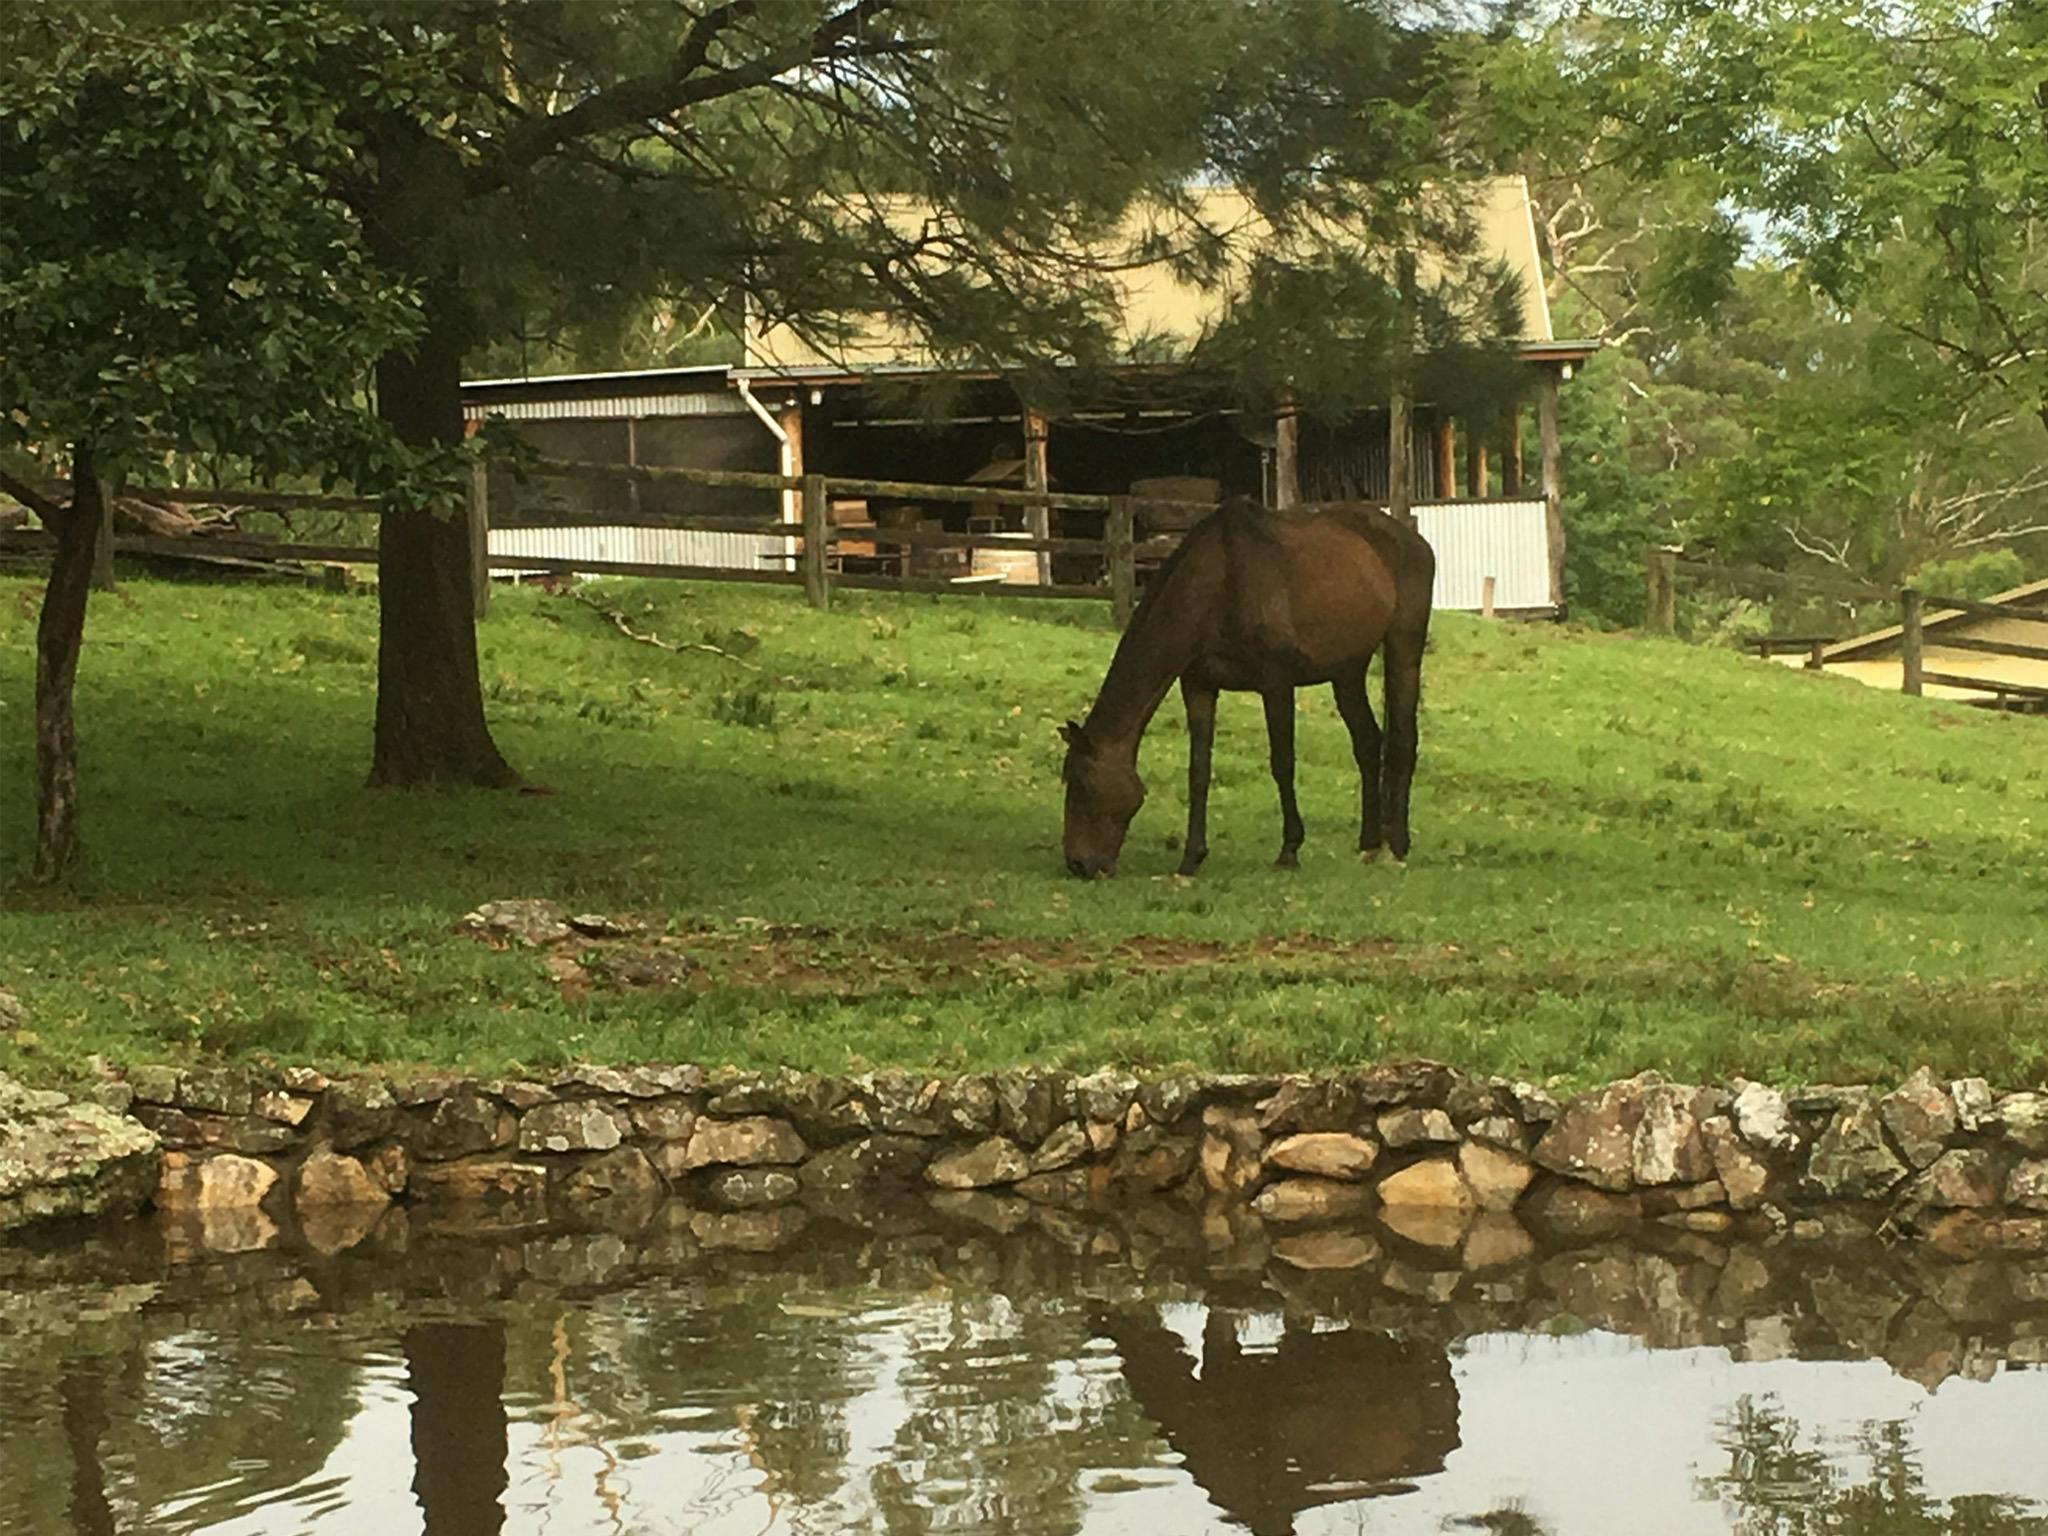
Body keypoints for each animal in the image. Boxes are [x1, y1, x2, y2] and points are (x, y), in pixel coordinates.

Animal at [1060, 496, 1434, 878]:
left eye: (1082, 783)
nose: (1078, 863)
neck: (1221, 583)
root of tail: (1413, 540)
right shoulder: (1198, 686)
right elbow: (1199, 771)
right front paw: (1191, 858)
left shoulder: (1276, 683)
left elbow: (1283, 762)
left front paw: (1289, 850)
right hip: (1347, 672)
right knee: (1368, 743)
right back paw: (1370, 843)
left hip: (1403, 649)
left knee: (1402, 741)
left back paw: (1397, 845)